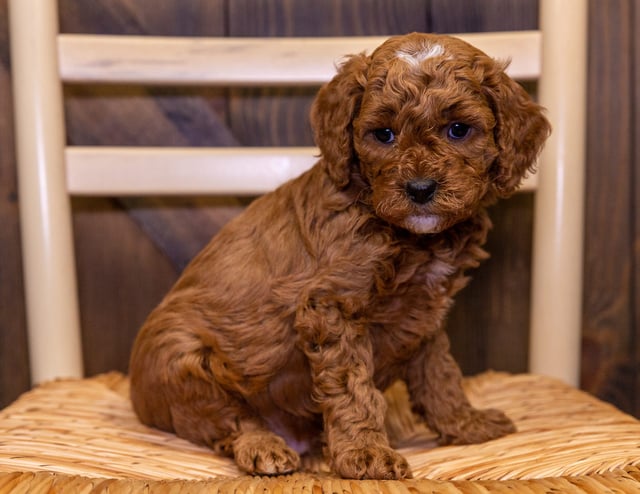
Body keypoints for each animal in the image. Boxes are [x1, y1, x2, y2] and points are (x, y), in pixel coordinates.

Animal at [129, 32, 552, 480]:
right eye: (383, 134)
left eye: (458, 129)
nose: (420, 188)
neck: (408, 236)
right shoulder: (331, 306)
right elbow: (352, 387)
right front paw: (365, 453)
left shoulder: (425, 317)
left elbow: (439, 374)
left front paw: (464, 423)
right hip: (182, 364)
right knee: (228, 421)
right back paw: (263, 446)